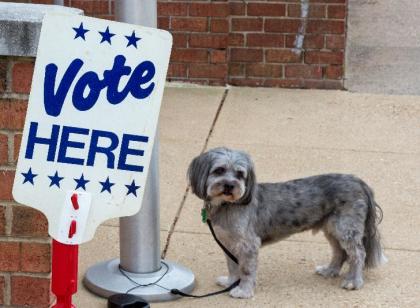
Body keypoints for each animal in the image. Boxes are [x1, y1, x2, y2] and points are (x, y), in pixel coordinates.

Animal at [189, 147, 386, 298]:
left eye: (239, 174)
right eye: (219, 170)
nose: (230, 186)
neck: (228, 205)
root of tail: (359, 182)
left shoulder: (248, 244)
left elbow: (245, 270)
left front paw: (243, 291)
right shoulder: (228, 243)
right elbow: (232, 266)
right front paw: (230, 282)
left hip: (345, 229)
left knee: (358, 254)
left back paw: (354, 281)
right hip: (332, 229)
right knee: (340, 252)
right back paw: (330, 271)